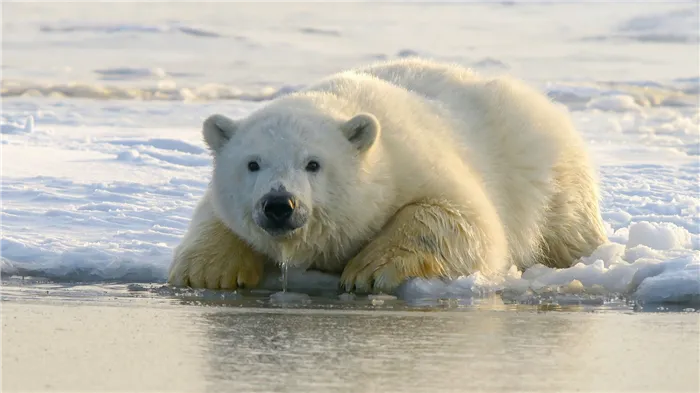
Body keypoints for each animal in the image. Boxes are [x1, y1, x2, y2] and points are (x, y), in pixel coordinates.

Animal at [168, 57, 608, 290]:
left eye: (313, 163)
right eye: (252, 163)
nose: (279, 204)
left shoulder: (416, 162)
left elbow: (464, 219)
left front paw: (369, 271)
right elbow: (213, 215)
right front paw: (209, 272)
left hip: (548, 175)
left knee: (568, 228)